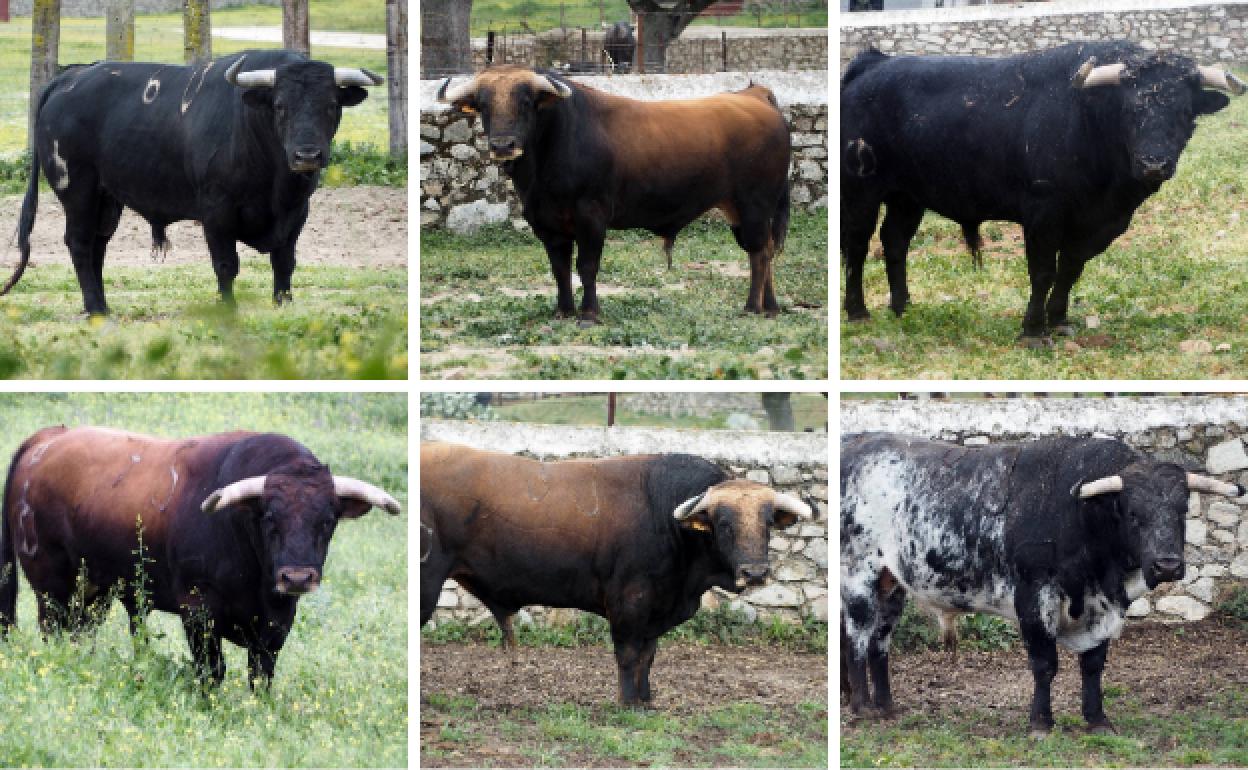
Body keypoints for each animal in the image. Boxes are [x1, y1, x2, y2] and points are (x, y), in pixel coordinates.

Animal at [0, 426, 399, 683]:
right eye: (270, 517)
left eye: (328, 520)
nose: (297, 577)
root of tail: (47, 439)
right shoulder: (197, 611)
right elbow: (212, 672)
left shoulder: (278, 621)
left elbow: (261, 675)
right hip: (51, 584)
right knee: (53, 629)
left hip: (96, 590)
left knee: (82, 632)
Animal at [3, 49, 379, 313]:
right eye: (280, 106)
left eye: (331, 105)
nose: (307, 156)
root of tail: (74, 74)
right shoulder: (216, 211)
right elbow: (226, 265)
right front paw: (228, 309)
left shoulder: (297, 213)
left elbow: (284, 263)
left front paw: (283, 305)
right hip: (77, 189)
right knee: (80, 244)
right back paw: (96, 309)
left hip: (107, 198)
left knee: (98, 245)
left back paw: (101, 305)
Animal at [416, 441, 808, 703]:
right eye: (724, 524)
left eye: (768, 523)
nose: (754, 573)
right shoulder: (629, 604)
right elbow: (629, 655)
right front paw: (627, 702)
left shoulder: (655, 610)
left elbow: (648, 656)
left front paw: (645, 700)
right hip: (426, 586)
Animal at [436, 68, 788, 324]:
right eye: (483, 105)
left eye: (526, 102)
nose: (502, 146)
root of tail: (756, 96)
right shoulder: (548, 224)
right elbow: (560, 269)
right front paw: (563, 310)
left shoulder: (591, 217)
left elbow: (587, 266)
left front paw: (589, 313)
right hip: (738, 210)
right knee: (766, 249)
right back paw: (770, 306)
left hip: (755, 205)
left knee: (759, 253)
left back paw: (752, 307)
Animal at [843, 40, 1243, 341]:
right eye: (1130, 110)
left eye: (1185, 113)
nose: (1154, 164)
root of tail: (874, 63)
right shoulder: (1043, 212)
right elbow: (1043, 272)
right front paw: (1033, 330)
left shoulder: (1096, 224)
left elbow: (1070, 269)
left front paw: (1059, 320)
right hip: (861, 189)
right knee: (858, 246)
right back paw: (858, 312)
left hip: (908, 196)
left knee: (894, 241)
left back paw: (902, 307)